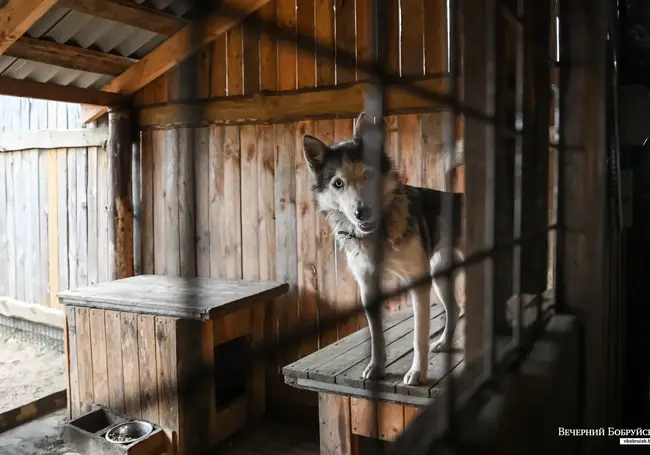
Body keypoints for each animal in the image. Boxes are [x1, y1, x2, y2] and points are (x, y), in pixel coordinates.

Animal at [302, 112, 464, 386]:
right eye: (338, 183)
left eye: (368, 175)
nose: (362, 212)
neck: (379, 233)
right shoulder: (367, 286)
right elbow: (376, 336)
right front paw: (376, 368)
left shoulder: (418, 284)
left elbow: (419, 336)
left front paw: (417, 373)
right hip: (440, 275)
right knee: (454, 309)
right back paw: (444, 343)